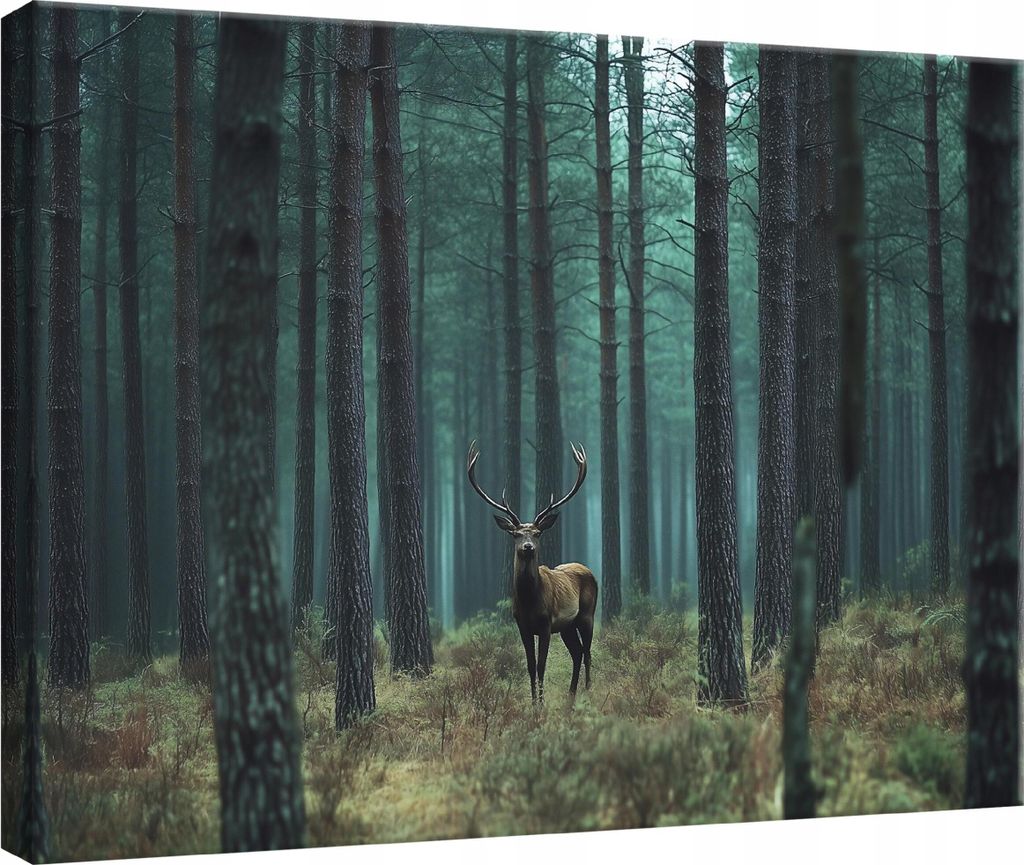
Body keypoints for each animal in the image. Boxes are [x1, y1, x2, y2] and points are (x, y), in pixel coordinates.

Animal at [467, 440, 598, 703]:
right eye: (516, 534)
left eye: (537, 533)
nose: (528, 546)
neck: (529, 601)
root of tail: (588, 569)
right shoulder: (522, 625)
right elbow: (529, 665)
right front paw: (533, 703)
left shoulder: (546, 624)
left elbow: (542, 665)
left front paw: (541, 703)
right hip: (567, 626)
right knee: (577, 652)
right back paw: (570, 696)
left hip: (587, 614)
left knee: (588, 652)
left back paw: (588, 692)